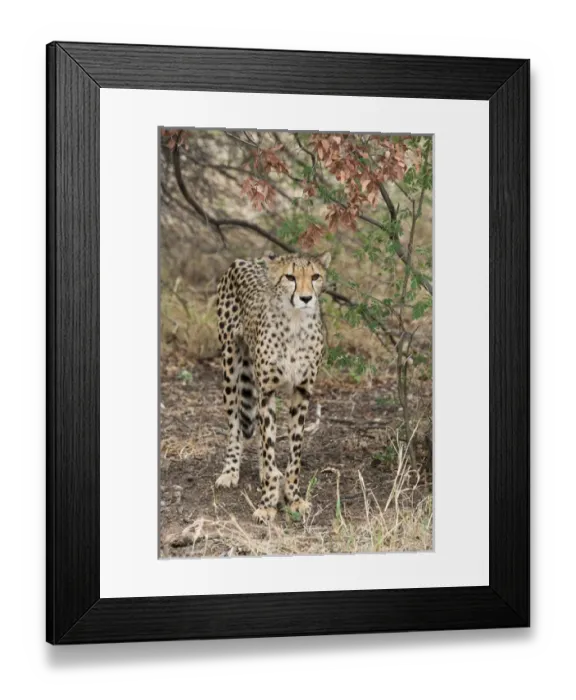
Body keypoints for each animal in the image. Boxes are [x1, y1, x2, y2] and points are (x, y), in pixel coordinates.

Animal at [214, 250, 331, 523]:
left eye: (315, 276)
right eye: (290, 277)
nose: (306, 298)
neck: (296, 324)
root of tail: (249, 259)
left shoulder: (301, 391)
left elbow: (294, 451)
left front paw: (293, 498)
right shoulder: (267, 391)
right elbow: (268, 446)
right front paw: (267, 503)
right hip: (230, 363)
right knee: (235, 423)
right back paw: (231, 470)